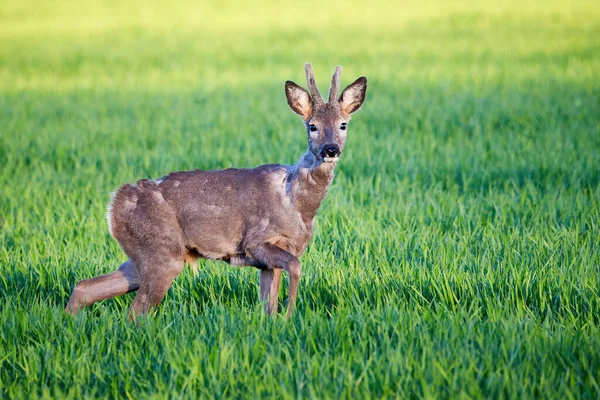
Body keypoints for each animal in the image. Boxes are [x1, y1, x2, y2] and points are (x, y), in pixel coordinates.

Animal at [65, 63, 366, 318]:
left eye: (343, 124)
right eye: (312, 126)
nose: (330, 149)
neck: (297, 203)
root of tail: (113, 206)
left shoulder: (272, 258)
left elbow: (268, 305)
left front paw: (275, 324)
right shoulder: (257, 240)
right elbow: (295, 267)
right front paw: (290, 317)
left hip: (142, 255)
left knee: (84, 287)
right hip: (161, 251)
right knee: (135, 313)